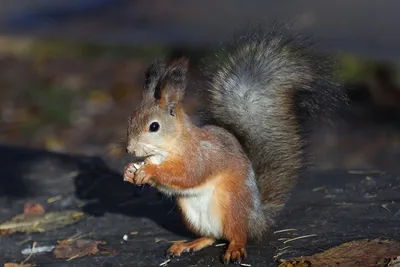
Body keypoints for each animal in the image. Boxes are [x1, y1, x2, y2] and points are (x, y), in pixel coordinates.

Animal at [122, 23, 346, 266]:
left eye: (154, 127)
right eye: (130, 120)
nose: (129, 150)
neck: (168, 148)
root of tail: (258, 220)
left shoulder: (200, 156)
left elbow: (186, 174)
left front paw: (149, 171)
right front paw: (130, 170)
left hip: (231, 205)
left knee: (237, 234)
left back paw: (235, 248)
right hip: (191, 213)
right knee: (213, 236)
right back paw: (189, 244)